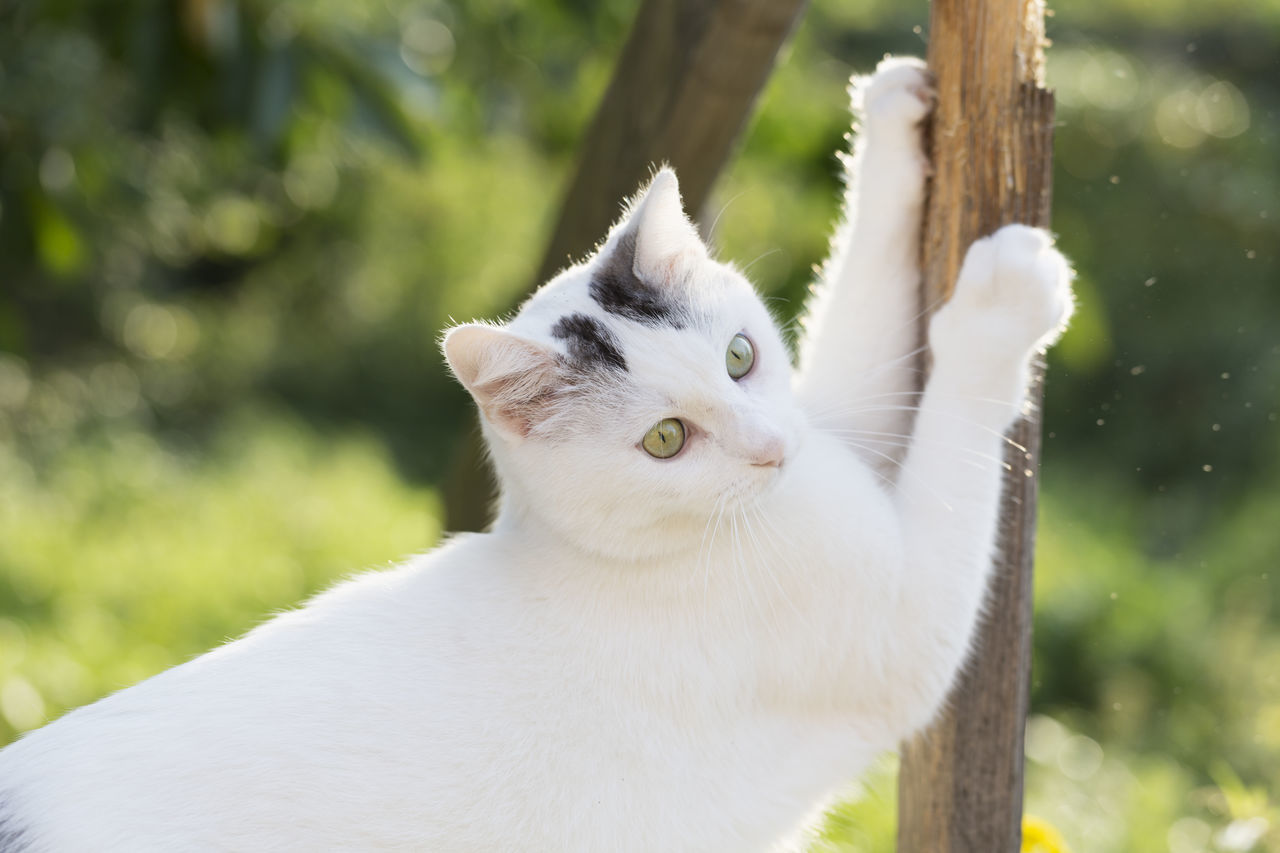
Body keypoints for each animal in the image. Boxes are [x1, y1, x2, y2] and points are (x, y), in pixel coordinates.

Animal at [0, 56, 1070, 845]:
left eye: (741, 356)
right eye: (666, 440)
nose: (771, 450)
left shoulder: (830, 429)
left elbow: (864, 332)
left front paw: (890, 119)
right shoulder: (904, 633)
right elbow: (957, 424)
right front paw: (1003, 301)